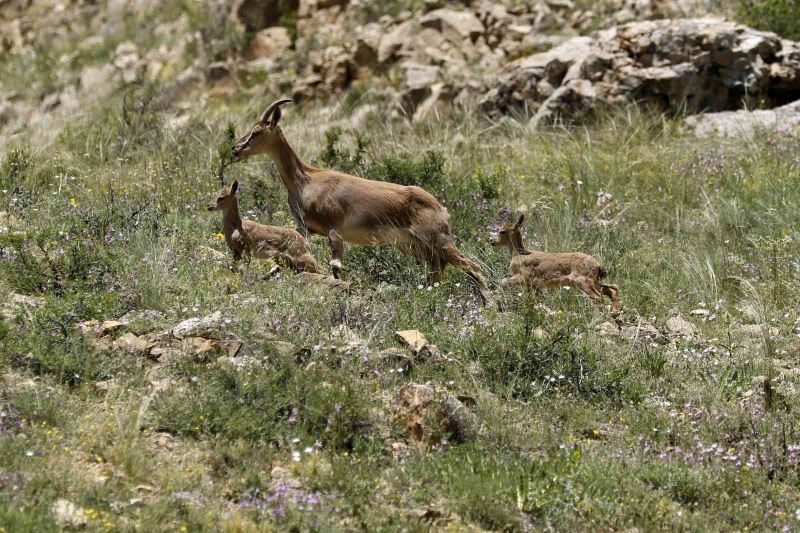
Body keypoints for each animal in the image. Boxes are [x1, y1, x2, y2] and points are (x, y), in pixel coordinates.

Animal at [231, 97, 490, 302]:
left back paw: (490, 304)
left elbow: (336, 268)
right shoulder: (303, 229)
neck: (307, 181)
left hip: (437, 239)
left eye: (257, 131)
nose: (235, 149)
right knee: (438, 269)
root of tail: (441, 209)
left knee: (472, 266)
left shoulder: (334, 231)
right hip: (414, 245)